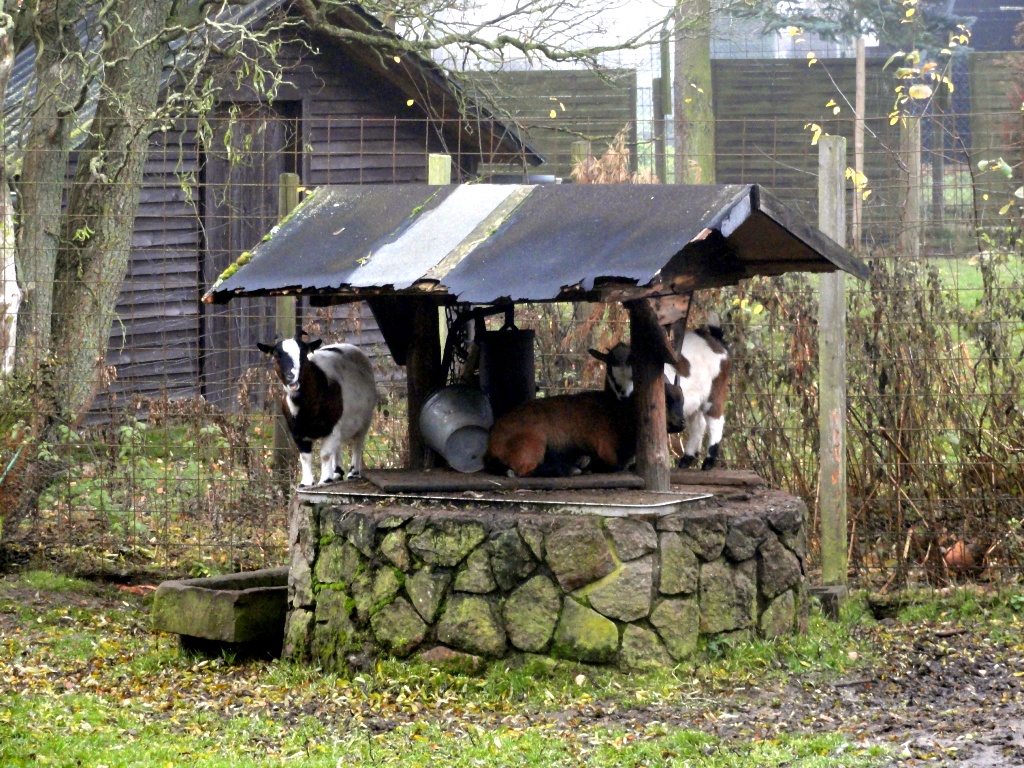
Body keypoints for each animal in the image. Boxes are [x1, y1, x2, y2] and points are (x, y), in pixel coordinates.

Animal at [258, 335, 378, 487]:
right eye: (276, 355)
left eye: (304, 354)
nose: (292, 377)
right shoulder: (297, 431)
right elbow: (305, 456)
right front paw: (306, 482)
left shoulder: (332, 426)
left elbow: (325, 455)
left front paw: (325, 480)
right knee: (338, 446)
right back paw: (337, 473)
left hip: (365, 418)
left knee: (357, 443)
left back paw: (353, 472)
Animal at [483, 346, 634, 479]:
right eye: (610, 370)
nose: (624, 393)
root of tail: (492, 443)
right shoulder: (606, 450)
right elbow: (611, 465)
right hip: (533, 443)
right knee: (522, 471)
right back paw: (570, 469)